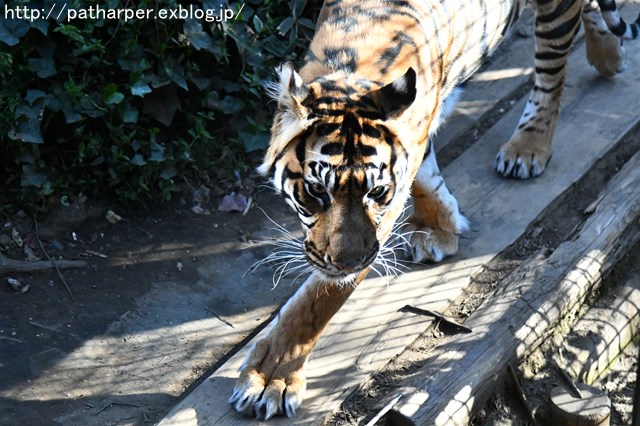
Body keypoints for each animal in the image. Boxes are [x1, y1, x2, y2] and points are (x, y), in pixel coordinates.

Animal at [228, 0, 636, 420]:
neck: (352, 67)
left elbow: (316, 300)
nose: (349, 263)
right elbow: (424, 172)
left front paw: (269, 380)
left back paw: (528, 145)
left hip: (551, 30)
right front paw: (440, 226)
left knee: (552, 74)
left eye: (376, 192)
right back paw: (608, 55)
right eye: (315, 191)